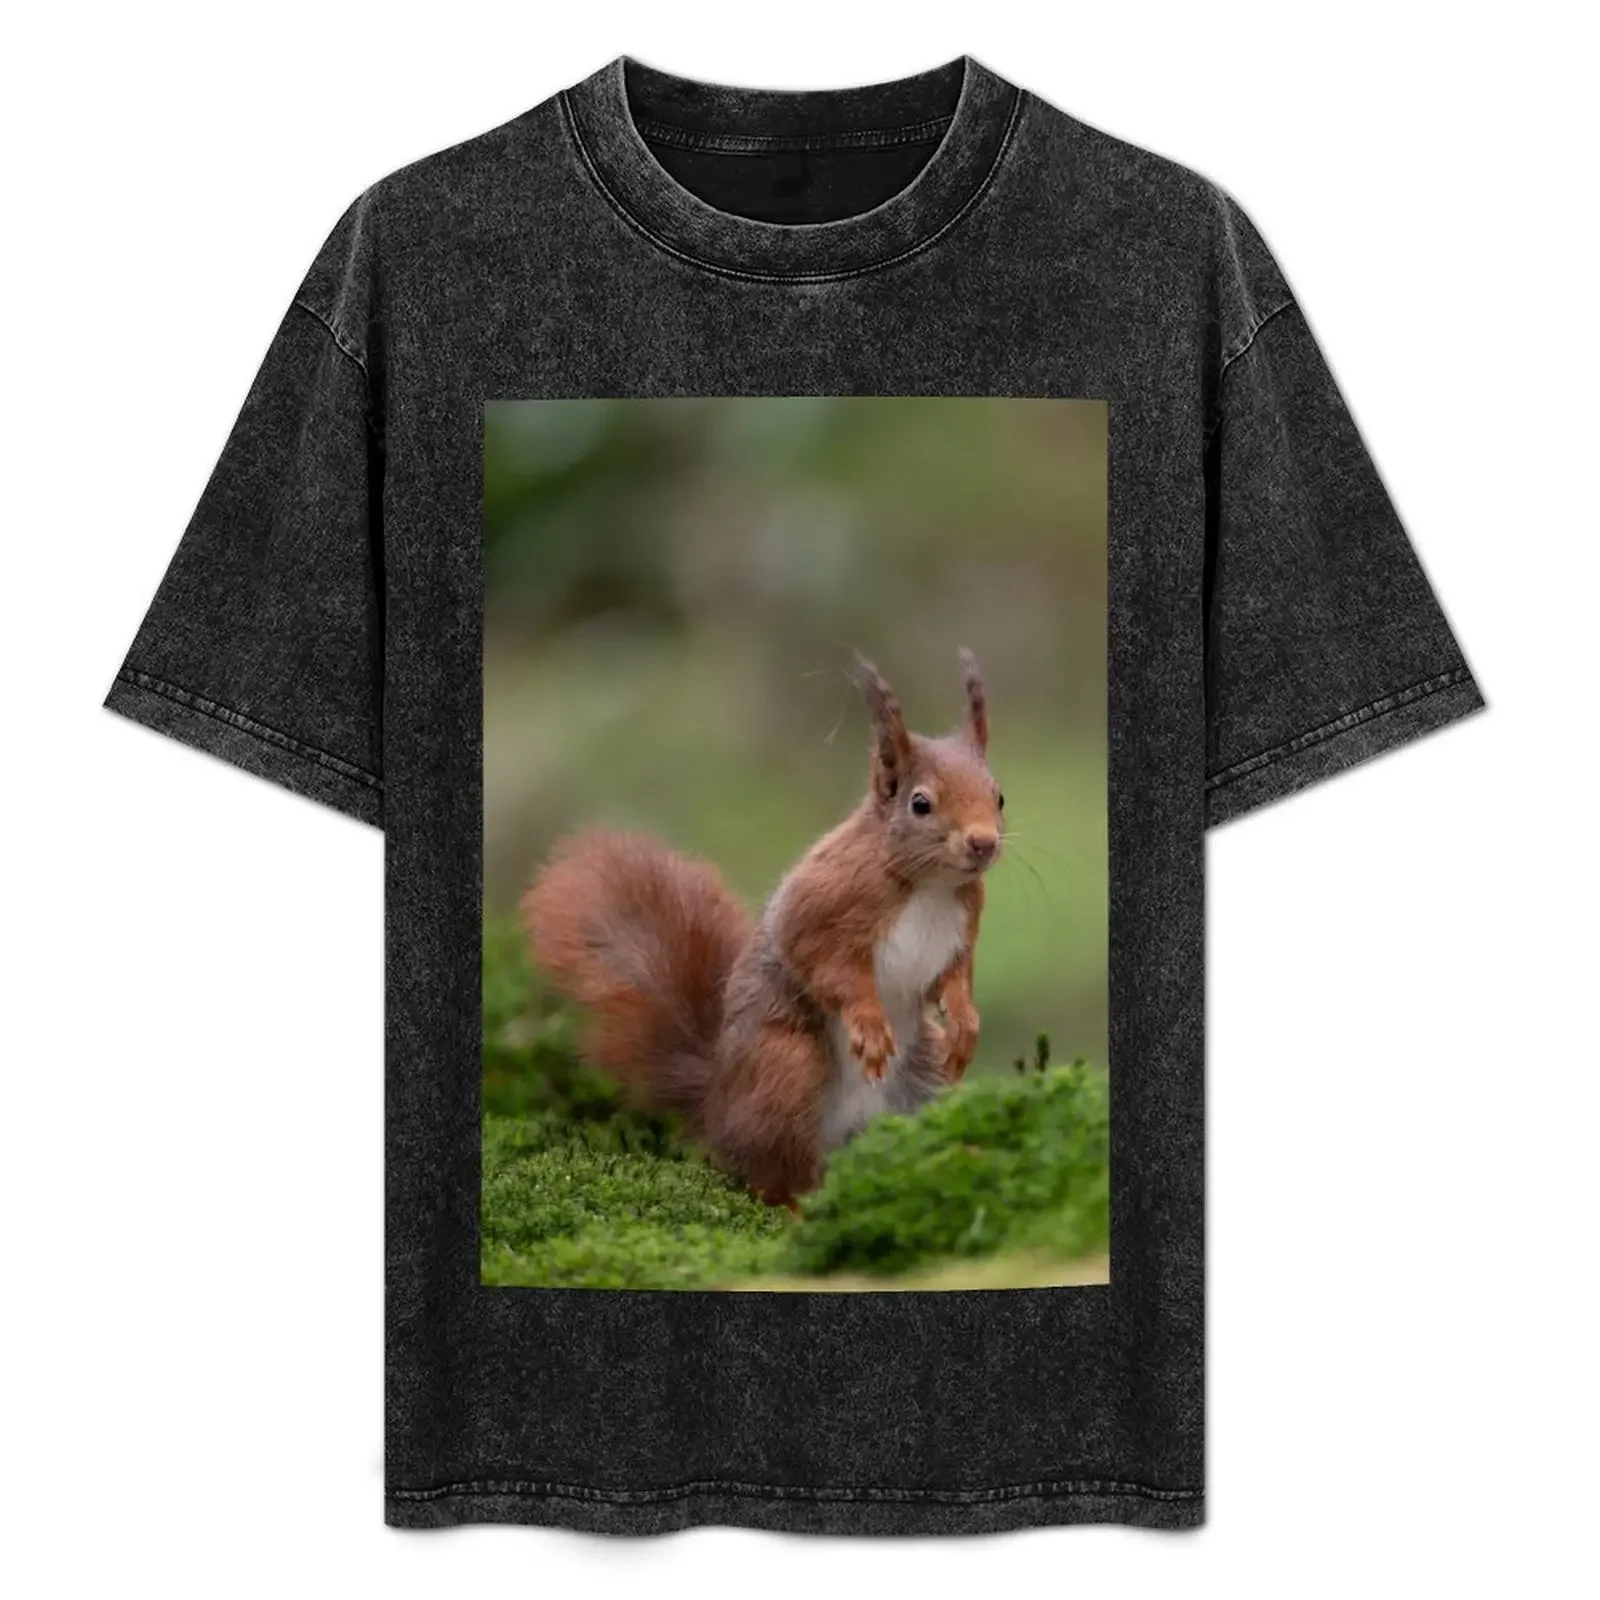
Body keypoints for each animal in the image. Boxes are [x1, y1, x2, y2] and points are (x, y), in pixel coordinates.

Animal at [521, 650, 1004, 1207]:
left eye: (999, 796)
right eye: (920, 803)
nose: (984, 843)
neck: (930, 884)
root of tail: (716, 1106)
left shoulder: (964, 926)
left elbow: (955, 976)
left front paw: (966, 1023)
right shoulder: (823, 903)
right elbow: (824, 961)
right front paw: (868, 1022)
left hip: (923, 1082)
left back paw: (955, 1158)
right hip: (785, 1068)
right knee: (771, 1174)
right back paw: (797, 1203)